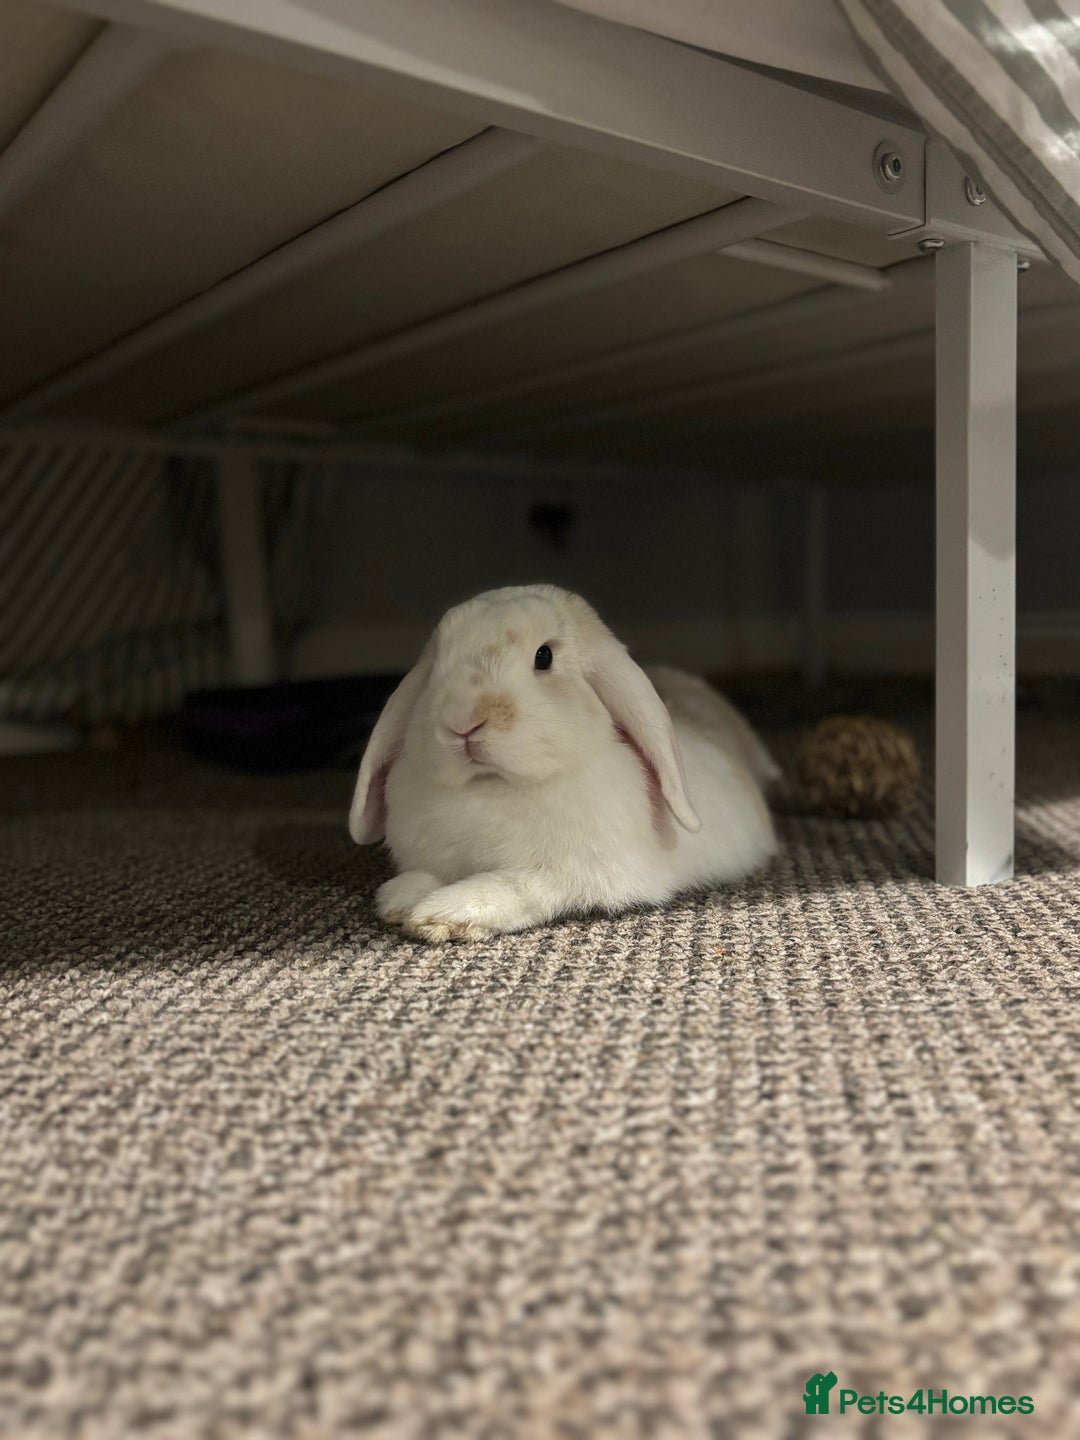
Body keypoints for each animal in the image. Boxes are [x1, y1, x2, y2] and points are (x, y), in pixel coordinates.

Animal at [350, 585, 778, 942]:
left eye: (545, 657)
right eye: (437, 663)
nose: (461, 720)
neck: (491, 785)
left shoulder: (573, 875)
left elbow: (517, 887)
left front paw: (444, 914)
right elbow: (422, 876)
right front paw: (400, 898)